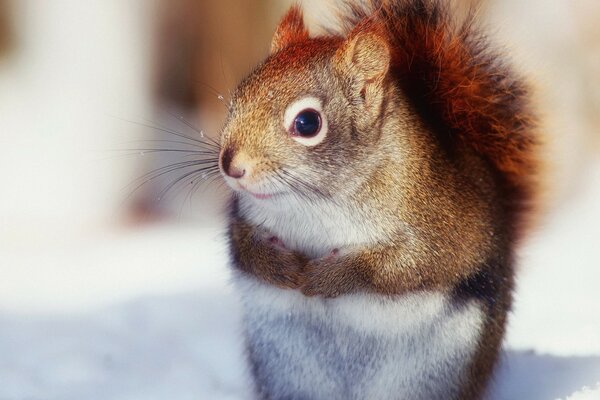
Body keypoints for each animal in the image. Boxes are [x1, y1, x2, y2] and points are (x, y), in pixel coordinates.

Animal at [218, 1, 536, 398]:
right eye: (236, 99)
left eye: (307, 123)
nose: (230, 165)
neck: (315, 203)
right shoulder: (244, 216)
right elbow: (243, 247)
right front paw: (281, 267)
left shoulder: (439, 226)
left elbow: (402, 267)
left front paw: (327, 277)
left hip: (426, 377)